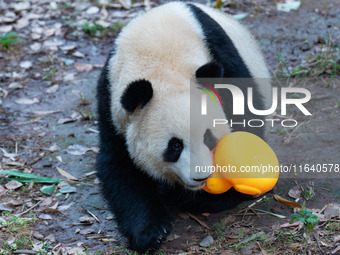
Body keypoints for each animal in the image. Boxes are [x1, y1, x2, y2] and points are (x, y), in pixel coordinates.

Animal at [96, 1, 270, 253]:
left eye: (208, 138)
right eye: (175, 146)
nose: (201, 177)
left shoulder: (223, 57)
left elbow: (247, 122)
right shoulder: (112, 103)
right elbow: (120, 168)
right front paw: (151, 232)